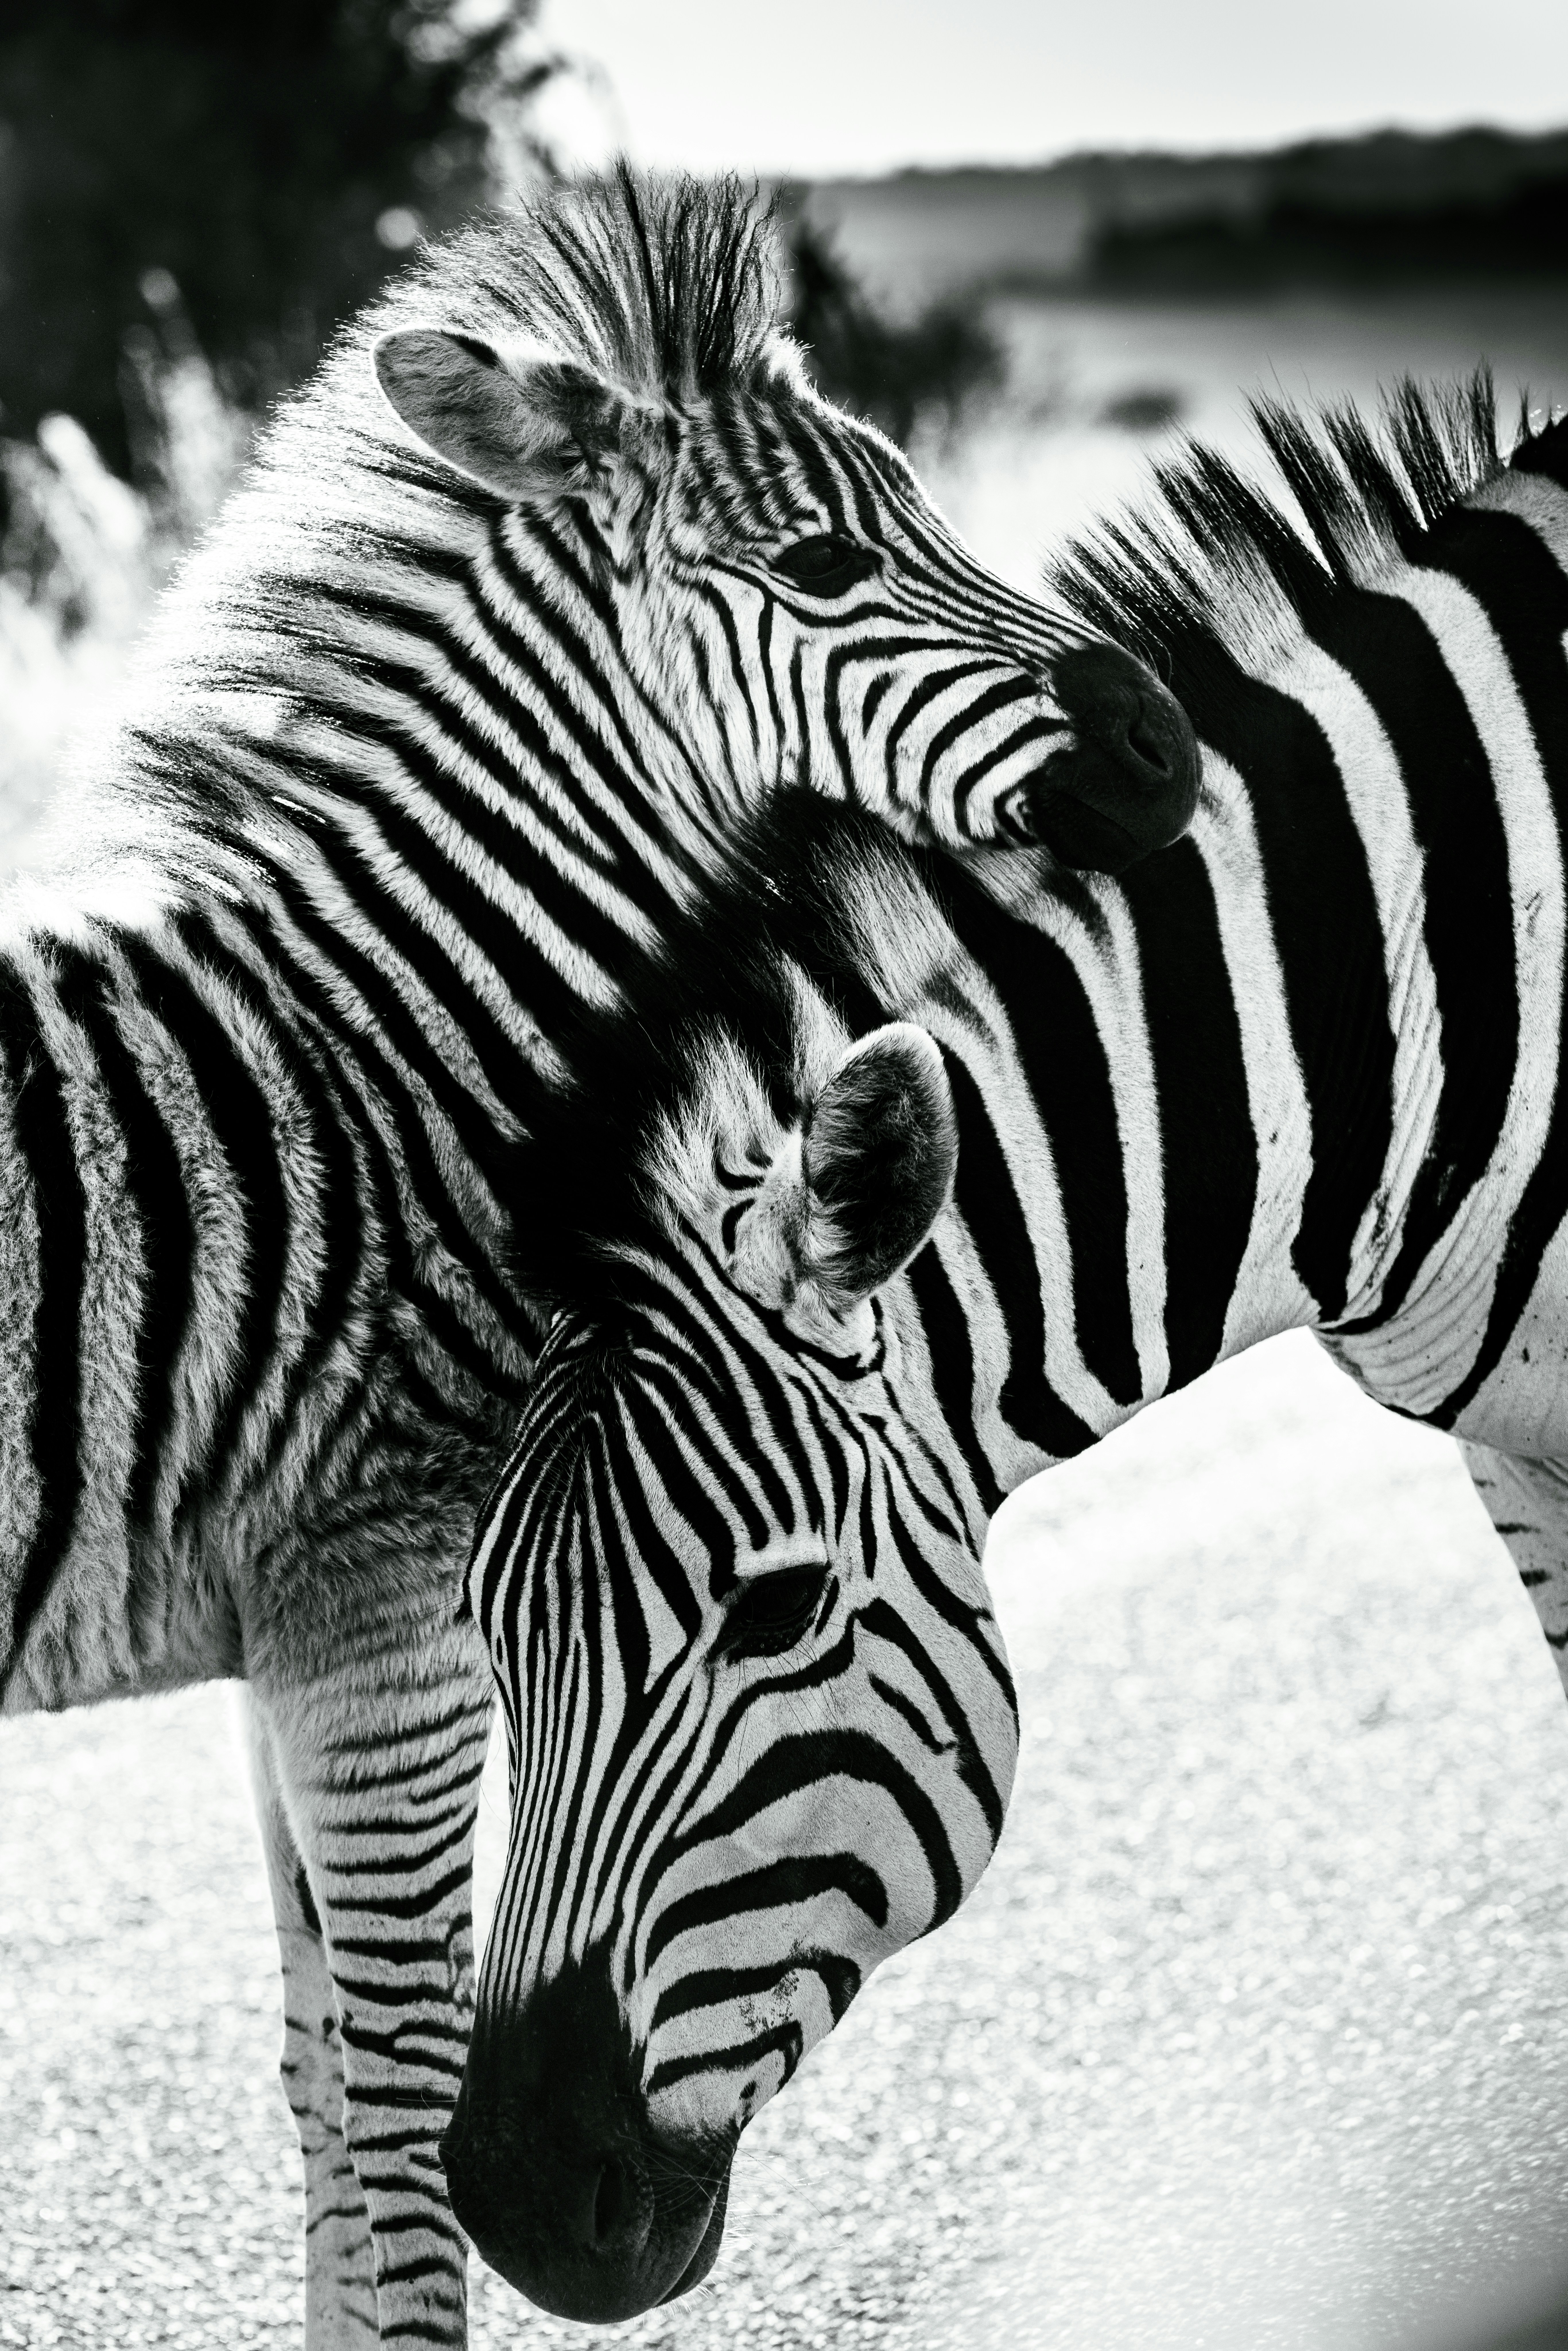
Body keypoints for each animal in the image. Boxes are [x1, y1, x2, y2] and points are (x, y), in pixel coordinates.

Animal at [0, 168, 1195, 2348]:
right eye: (825, 561)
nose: (1162, 744)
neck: (382, 1039)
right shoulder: (380, 1606)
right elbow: (392, 2105)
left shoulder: (287, 1634)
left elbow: (320, 2077)